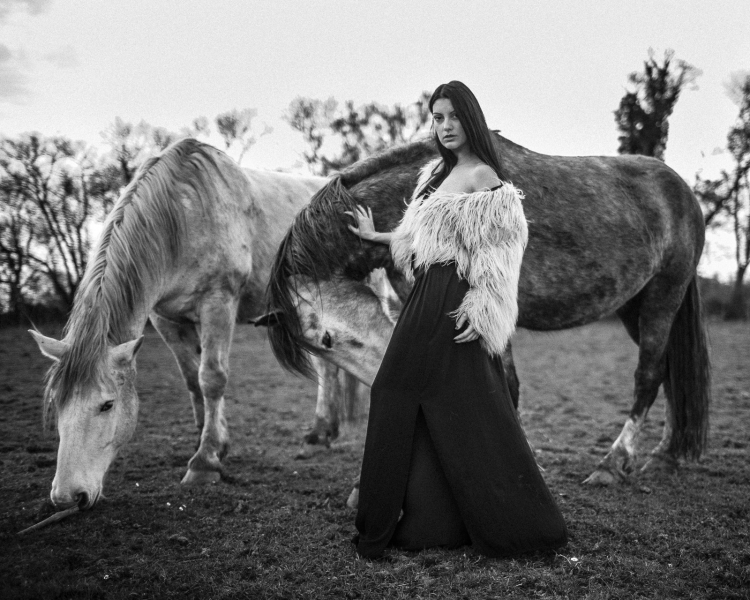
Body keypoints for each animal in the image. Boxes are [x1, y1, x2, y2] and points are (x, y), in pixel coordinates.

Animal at [31, 138, 332, 508]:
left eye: (107, 404)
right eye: (56, 403)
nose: (67, 497)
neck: (184, 216)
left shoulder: (218, 302)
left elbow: (211, 378)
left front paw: (205, 463)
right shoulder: (166, 319)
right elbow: (192, 381)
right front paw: (213, 444)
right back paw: (322, 431)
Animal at [268, 134, 712, 486]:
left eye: (326, 339)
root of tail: (683, 192)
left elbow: (502, 384)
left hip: (662, 298)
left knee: (648, 376)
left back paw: (614, 463)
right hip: (635, 307)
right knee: (669, 371)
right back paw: (665, 455)